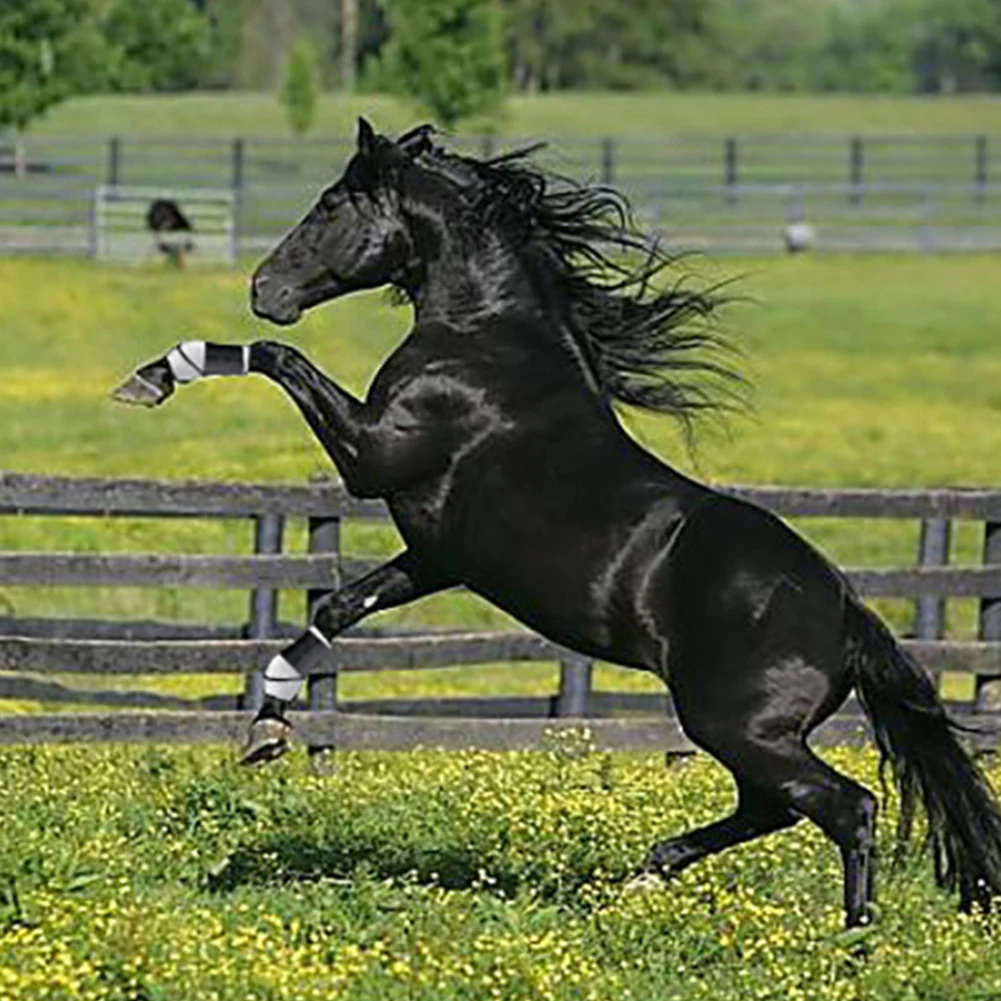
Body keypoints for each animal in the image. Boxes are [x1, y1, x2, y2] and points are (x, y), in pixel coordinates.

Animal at [113, 119, 1001, 928]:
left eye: (333, 203)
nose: (264, 288)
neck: (484, 342)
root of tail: (847, 612)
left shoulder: (373, 454)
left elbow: (278, 360)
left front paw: (157, 373)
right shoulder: (435, 554)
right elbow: (336, 605)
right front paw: (267, 723)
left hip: (736, 724)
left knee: (844, 806)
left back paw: (851, 940)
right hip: (750, 734)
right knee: (771, 808)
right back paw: (646, 873)